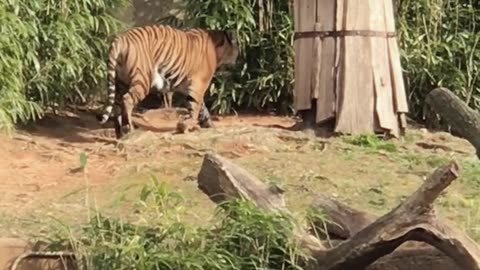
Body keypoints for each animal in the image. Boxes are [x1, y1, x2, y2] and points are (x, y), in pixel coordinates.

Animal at [96, 24, 239, 138]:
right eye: (236, 47)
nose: (238, 58)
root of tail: (120, 39)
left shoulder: (190, 87)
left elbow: (202, 109)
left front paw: (209, 125)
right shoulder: (198, 86)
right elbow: (195, 108)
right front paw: (189, 126)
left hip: (120, 82)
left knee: (117, 106)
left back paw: (120, 134)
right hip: (142, 80)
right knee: (127, 100)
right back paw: (129, 129)